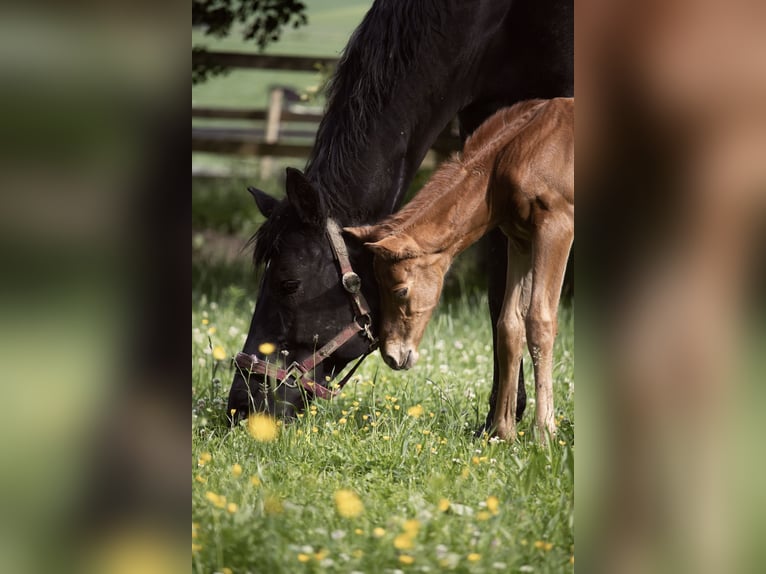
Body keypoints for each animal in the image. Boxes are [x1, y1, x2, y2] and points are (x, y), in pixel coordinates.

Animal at [344, 99, 574, 440]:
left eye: (400, 290)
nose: (391, 356)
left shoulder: (556, 227)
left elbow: (539, 320)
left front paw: (544, 431)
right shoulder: (520, 240)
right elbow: (509, 324)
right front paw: (502, 432)